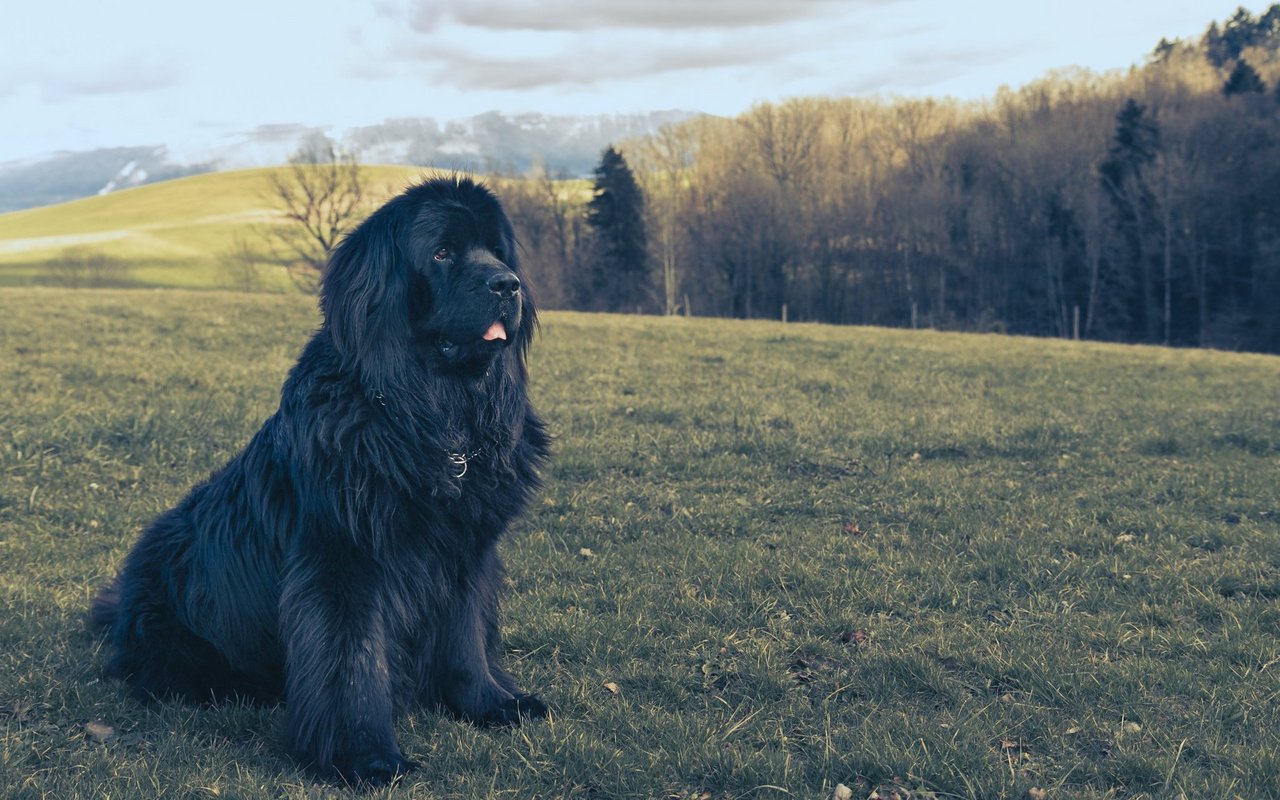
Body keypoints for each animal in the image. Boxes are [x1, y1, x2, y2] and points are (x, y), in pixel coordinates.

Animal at [88, 177, 550, 783]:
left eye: (498, 252)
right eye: (442, 253)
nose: (507, 284)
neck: (429, 422)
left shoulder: (464, 552)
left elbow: (466, 638)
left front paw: (491, 704)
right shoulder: (341, 560)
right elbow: (350, 662)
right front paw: (364, 756)